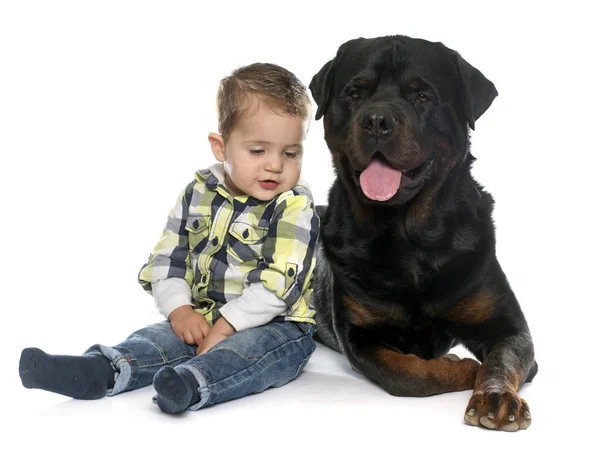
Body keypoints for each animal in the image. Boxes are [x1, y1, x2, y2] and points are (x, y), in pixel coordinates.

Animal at [312, 35, 536, 430]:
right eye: (354, 93)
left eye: (422, 96)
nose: (376, 120)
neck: (409, 241)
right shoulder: (360, 337)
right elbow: (409, 375)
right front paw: (461, 368)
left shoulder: (507, 325)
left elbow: (502, 358)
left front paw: (495, 396)